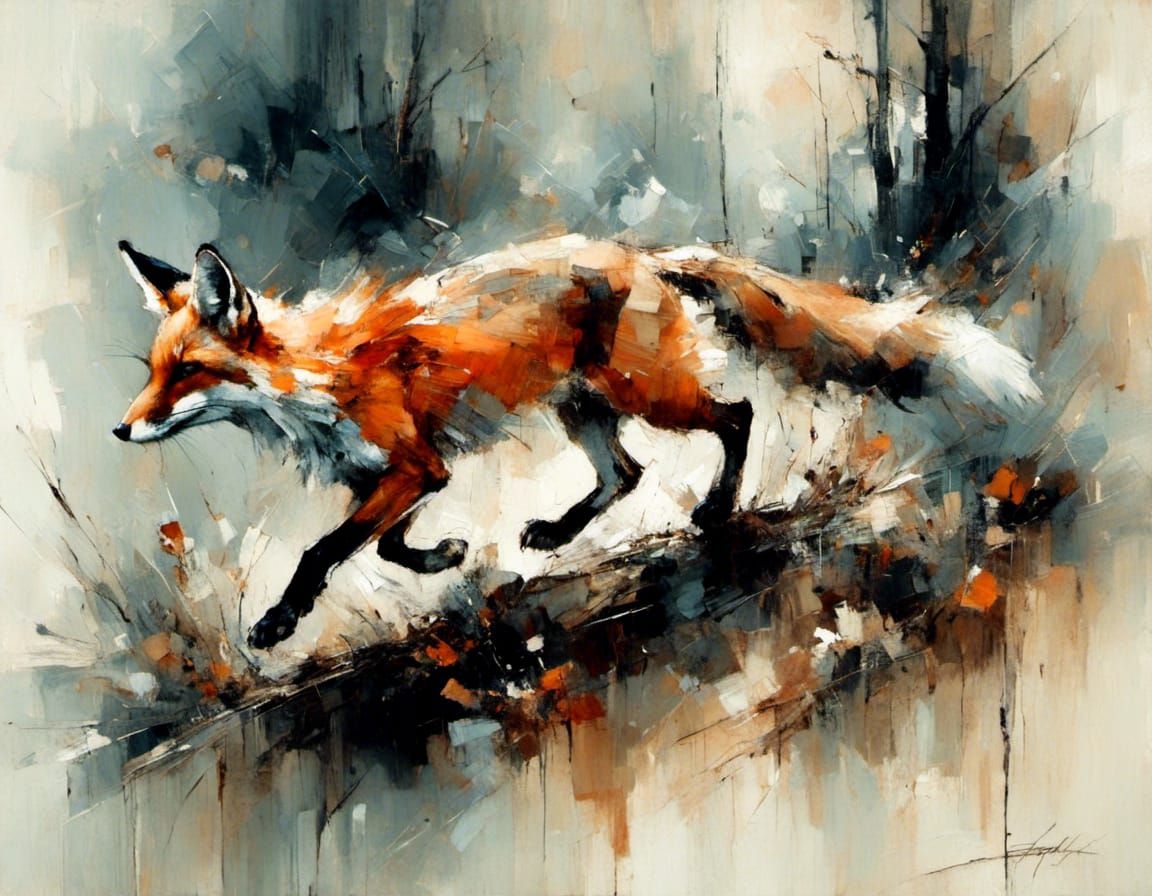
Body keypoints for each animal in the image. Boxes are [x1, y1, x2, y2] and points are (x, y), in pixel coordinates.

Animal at [114, 234, 1040, 649]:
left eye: (188, 371)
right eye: (154, 370)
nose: (121, 428)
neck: (320, 378)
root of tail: (645, 253)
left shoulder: (413, 464)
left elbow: (326, 551)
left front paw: (278, 621)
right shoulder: (406, 474)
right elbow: (384, 544)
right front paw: (446, 556)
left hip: (645, 394)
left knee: (735, 416)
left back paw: (714, 509)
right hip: (584, 409)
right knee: (625, 473)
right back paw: (558, 531)